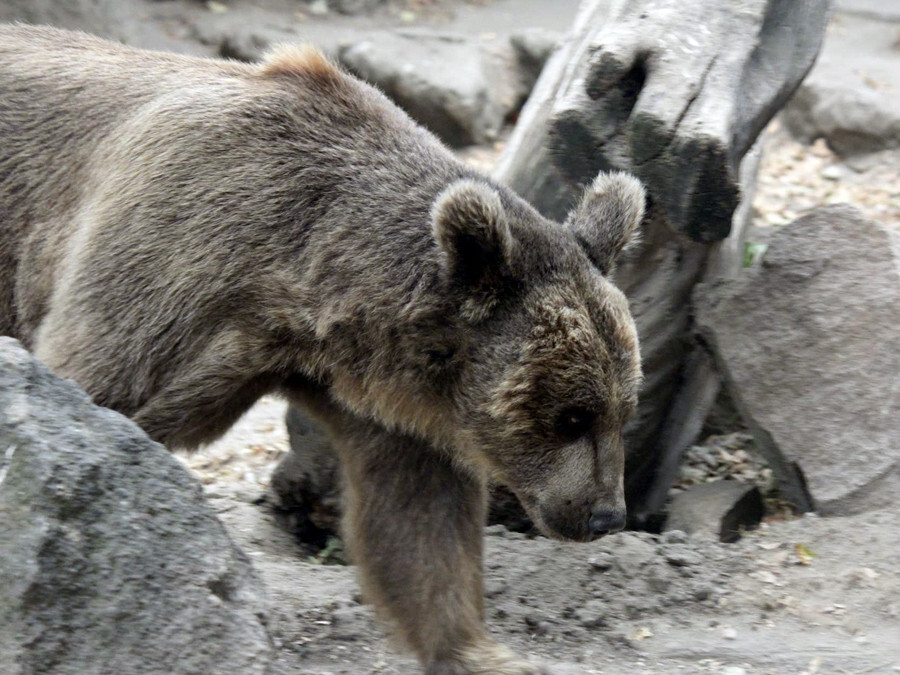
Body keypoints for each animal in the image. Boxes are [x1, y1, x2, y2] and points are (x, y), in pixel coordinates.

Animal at [0, 25, 648, 675]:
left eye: (623, 410)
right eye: (571, 415)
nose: (606, 515)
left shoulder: (390, 404)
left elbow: (420, 524)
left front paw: (479, 651)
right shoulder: (170, 262)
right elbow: (96, 390)